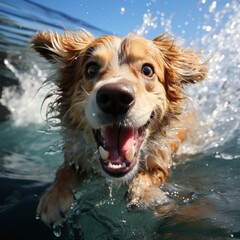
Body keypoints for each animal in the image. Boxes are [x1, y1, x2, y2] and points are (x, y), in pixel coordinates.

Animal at [31, 29, 207, 225]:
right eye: (91, 69)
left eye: (148, 70)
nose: (114, 97)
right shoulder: (76, 154)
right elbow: (64, 170)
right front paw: (54, 198)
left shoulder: (161, 157)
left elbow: (153, 174)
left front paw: (145, 194)